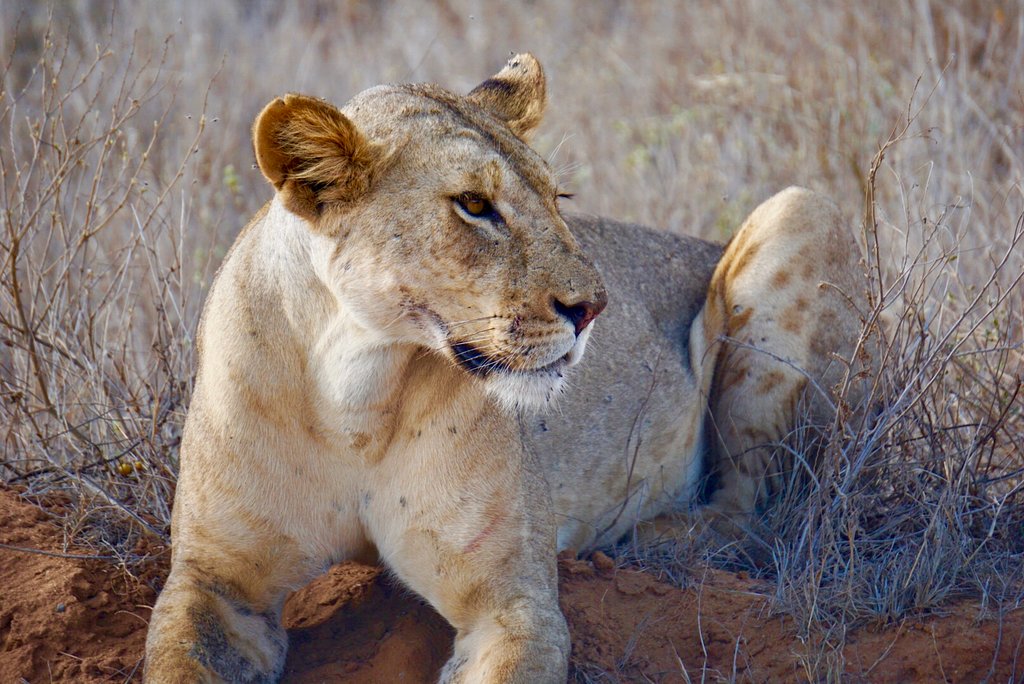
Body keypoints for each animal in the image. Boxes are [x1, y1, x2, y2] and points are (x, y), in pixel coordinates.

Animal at [145, 54, 874, 682]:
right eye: (474, 205)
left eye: (559, 197)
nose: (594, 307)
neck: (354, 391)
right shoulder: (215, 582)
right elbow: (180, 657)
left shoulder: (512, 602)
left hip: (802, 208)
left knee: (753, 510)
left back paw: (644, 539)